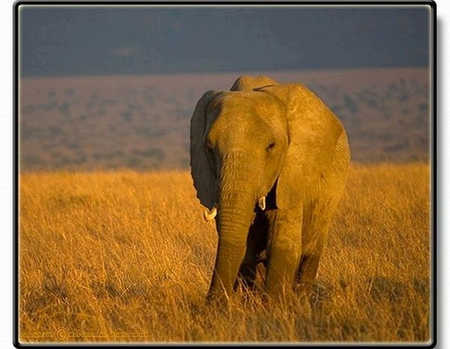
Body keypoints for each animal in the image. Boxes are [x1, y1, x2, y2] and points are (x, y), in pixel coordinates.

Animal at [190, 75, 352, 302]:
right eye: (208, 148)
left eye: (271, 146)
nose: (213, 303)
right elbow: (246, 248)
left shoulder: (292, 172)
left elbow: (281, 244)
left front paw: (275, 307)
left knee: (310, 255)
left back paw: (301, 300)